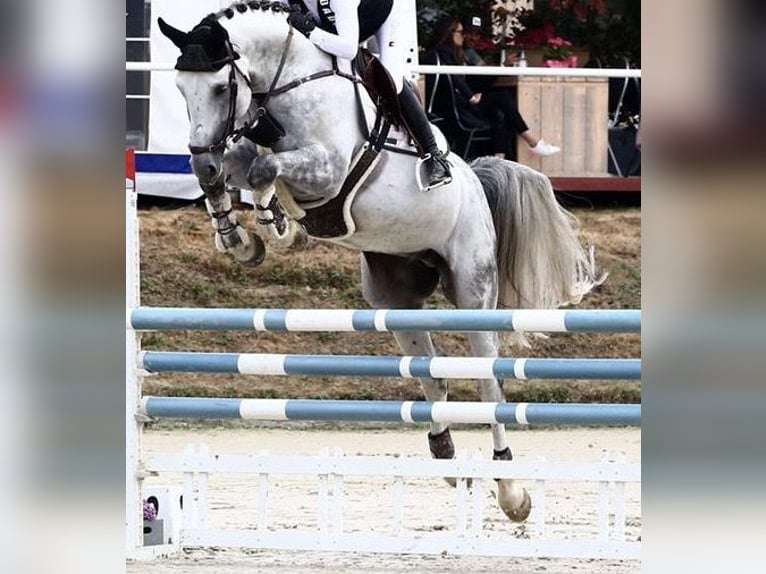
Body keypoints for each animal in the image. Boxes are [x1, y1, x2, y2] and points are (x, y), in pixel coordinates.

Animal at [160, 1, 608, 528]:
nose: (201, 160)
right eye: (179, 88)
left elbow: (264, 168)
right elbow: (239, 168)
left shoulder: (328, 169)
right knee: (431, 375)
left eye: (220, 88)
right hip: (395, 297)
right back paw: (446, 456)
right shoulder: (246, 150)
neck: (286, 83)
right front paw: (240, 237)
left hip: (473, 290)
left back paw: (511, 490)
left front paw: (273, 223)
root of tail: (475, 181)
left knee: (488, 382)